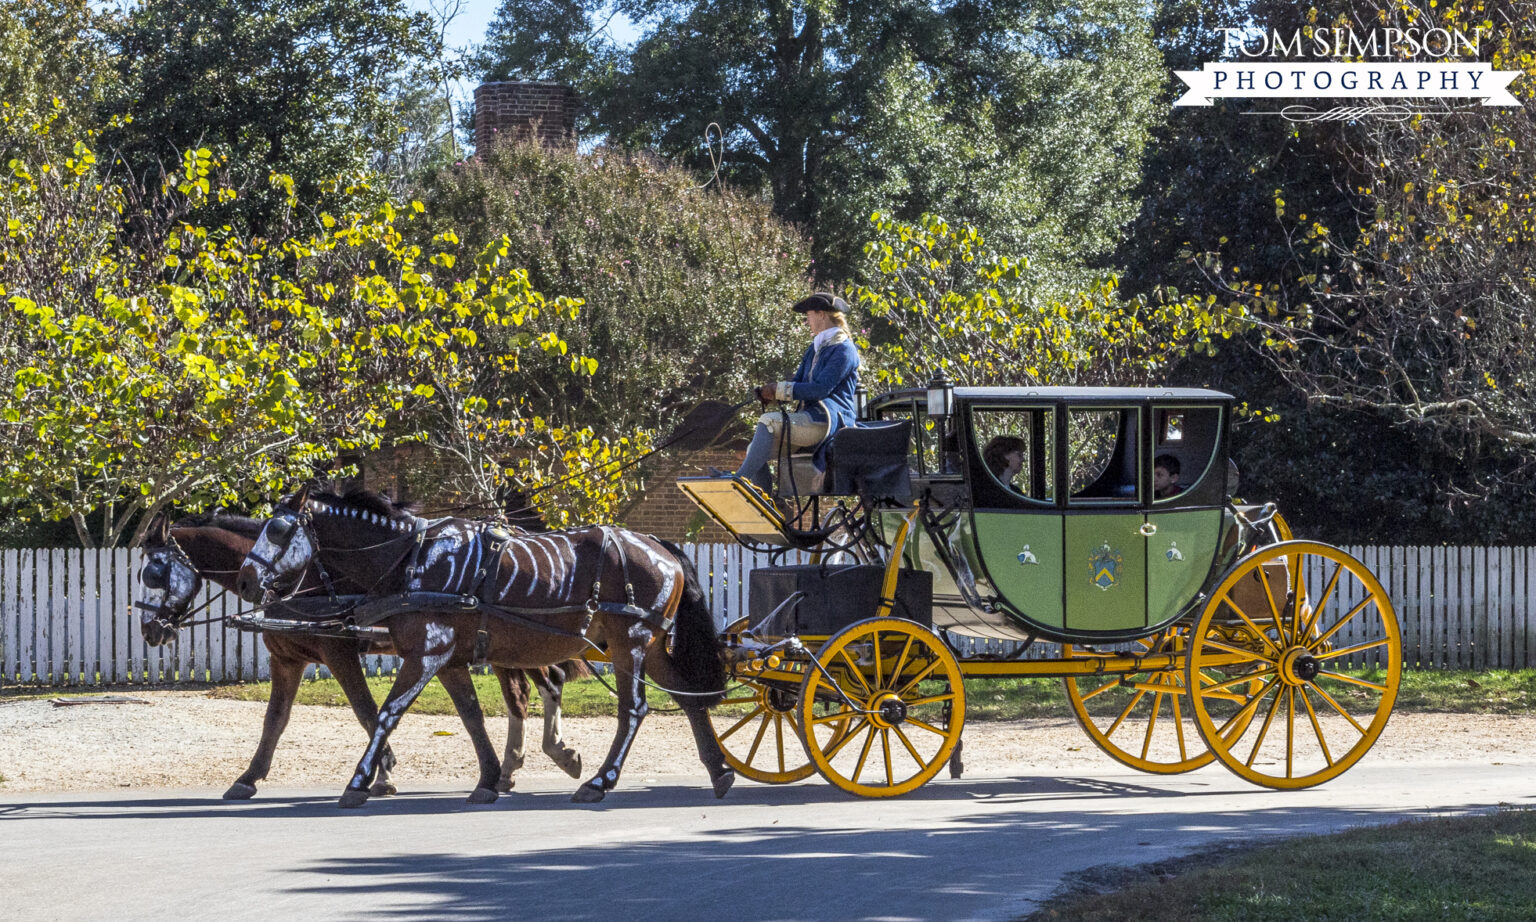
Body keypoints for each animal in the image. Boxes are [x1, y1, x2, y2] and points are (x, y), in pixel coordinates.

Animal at [138, 510, 583, 799]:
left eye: (153, 572)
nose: (148, 630)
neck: (300, 580)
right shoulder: (287, 659)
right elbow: (275, 720)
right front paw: (249, 776)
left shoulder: (338, 653)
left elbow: (366, 711)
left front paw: (381, 773)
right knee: (525, 693)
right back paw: (512, 767)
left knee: (547, 683)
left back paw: (553, 753)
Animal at [233, 488, 731, 805]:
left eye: (277, 531)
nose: (245, 579)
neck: (413, 560)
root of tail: (658, 545)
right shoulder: (449, 659)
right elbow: (471, 716)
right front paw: (490, 778)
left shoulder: (426, 652)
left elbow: (386, 713)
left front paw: (360, 780)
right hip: (649, 646)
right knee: (689, 699)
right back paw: (720, 770)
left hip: (629, 644)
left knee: (633, 709)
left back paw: (601, 780)